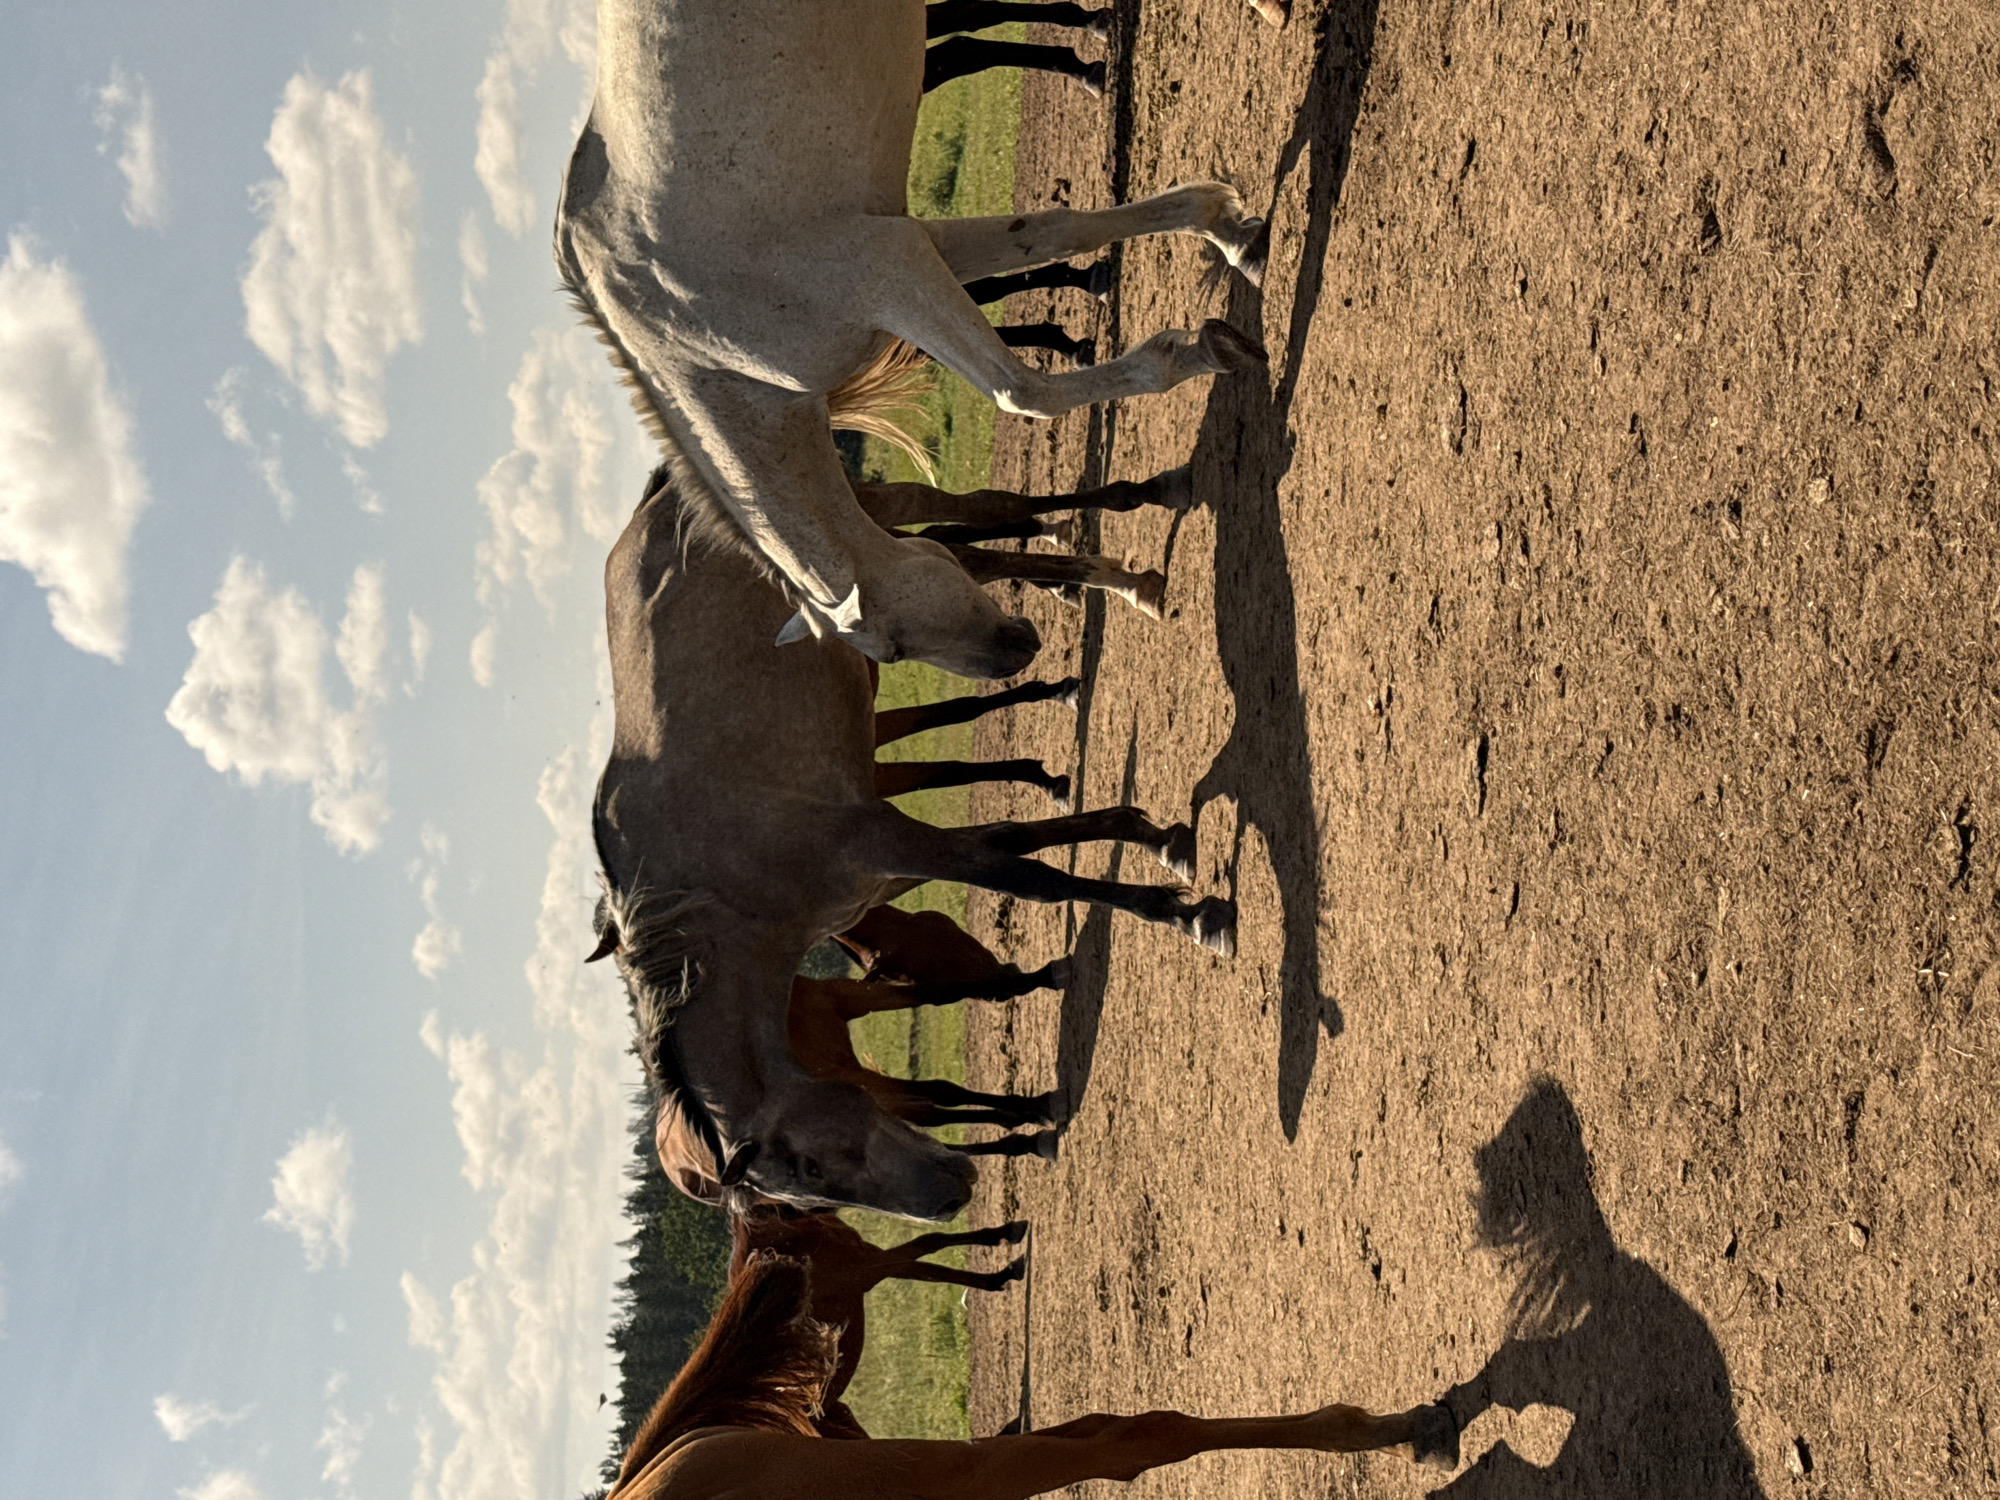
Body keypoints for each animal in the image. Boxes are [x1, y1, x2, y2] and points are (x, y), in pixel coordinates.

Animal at [556, 0, 1271, 676]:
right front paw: (1228, 229)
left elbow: (1021, 392)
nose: (1014, 659)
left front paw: (1199, 351)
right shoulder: (919, 246)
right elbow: (1060, 230)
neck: (701, 347)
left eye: (892, 652)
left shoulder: (890, 270)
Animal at [594, 471, 1234, 1219]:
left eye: (810, 1167)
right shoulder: (881, 874)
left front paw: (1186, 912)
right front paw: (1150, 834)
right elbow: (1018, 841)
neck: (722, 903)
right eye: (801, 1199)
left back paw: (1128, 558)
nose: (948, 1199)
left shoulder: (884, 840)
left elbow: (1033, 878)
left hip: (888, 525)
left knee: (981, 525)